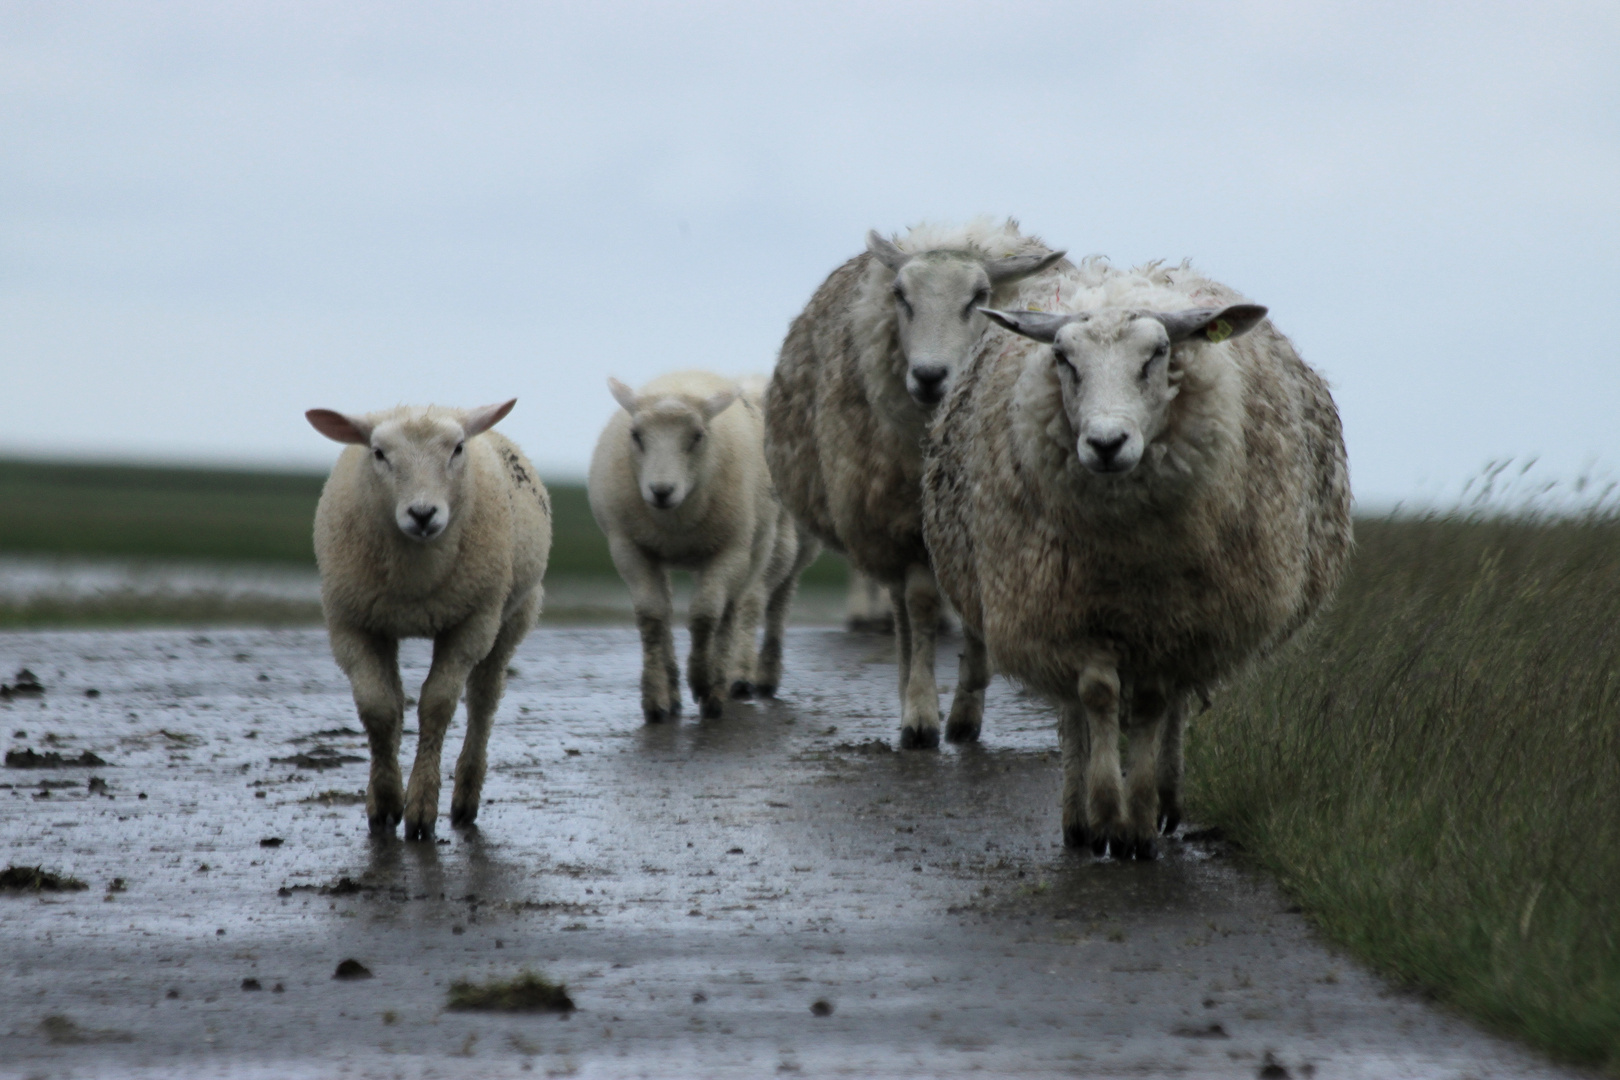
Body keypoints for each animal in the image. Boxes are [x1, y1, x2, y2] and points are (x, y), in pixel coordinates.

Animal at [306, 401, 554, 841]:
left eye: (457, 449)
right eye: (378, 453)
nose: (422, 515)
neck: (415, 580)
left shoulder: (470, 624)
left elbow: (437, 705)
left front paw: (422, 808)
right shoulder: (351, 622)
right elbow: (378, 709)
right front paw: (385, 802)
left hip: (513, 614)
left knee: (483, 701)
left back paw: (465, 799)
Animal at [586, 369, 816, 718]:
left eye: (697, 436)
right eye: (636, 435)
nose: (661, 491)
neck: (676, 520)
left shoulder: (730, 551)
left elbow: (705, 615)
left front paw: (703, 681)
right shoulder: (629, 548)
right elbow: (653, 616)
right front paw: (656, 699)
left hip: (765, 549)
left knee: (749, 607)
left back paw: (738, 680)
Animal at [764, 215, 1069, 748]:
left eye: (980, 296)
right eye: (900, 295)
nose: (928, 376)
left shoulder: (973, 527)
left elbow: (972, 612)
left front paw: (966, 711)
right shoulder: (905, 527)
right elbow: (923, 610)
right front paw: (922, 715)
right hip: (880, 525)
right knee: (902, 614)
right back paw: (908, 683)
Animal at [926, 257, 1354, 854]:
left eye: (1158, 354)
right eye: (1063, 358)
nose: (1106, 444)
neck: (1126, 553)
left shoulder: (1172, 620)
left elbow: (1154, 703)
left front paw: (1141, 820)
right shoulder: (1070, 612)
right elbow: (1097, 695)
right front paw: (1106, 813)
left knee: (1176, 703)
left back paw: (1167, 802)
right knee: (1073, 709)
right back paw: (1077, 816)